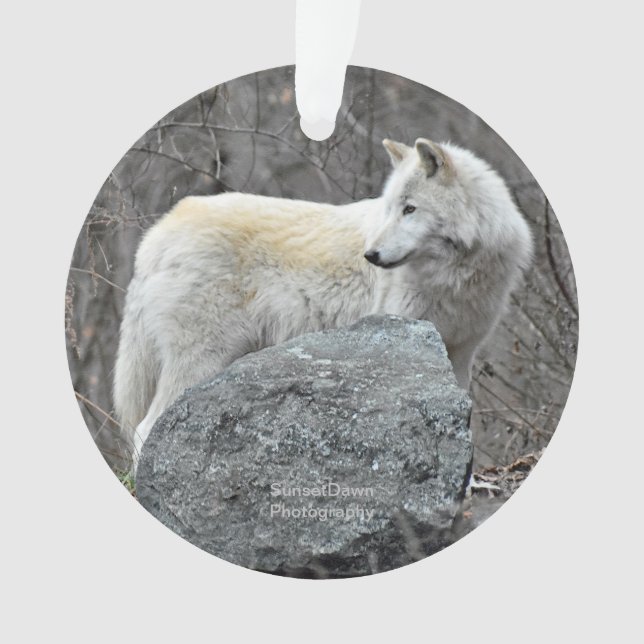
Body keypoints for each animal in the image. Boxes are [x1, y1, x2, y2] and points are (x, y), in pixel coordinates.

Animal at [114, 138, 533, 470]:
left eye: (410, 209)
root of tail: (157, 235)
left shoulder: (460, 353)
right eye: (391, 208)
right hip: (200, 362)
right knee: (144, 429)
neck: (454, 275)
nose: (371, 255)